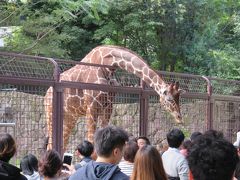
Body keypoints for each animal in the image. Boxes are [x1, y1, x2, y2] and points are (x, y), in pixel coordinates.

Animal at [44, 44, 183, 149]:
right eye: (169, 99)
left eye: (179, 97)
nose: (179, 118)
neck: (108, 66)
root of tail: (47, 94)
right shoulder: (92, 106)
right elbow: (91, 139)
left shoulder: (108, 106)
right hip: (51, 114)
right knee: (51, 143)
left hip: (70, 117)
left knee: (63, 142)